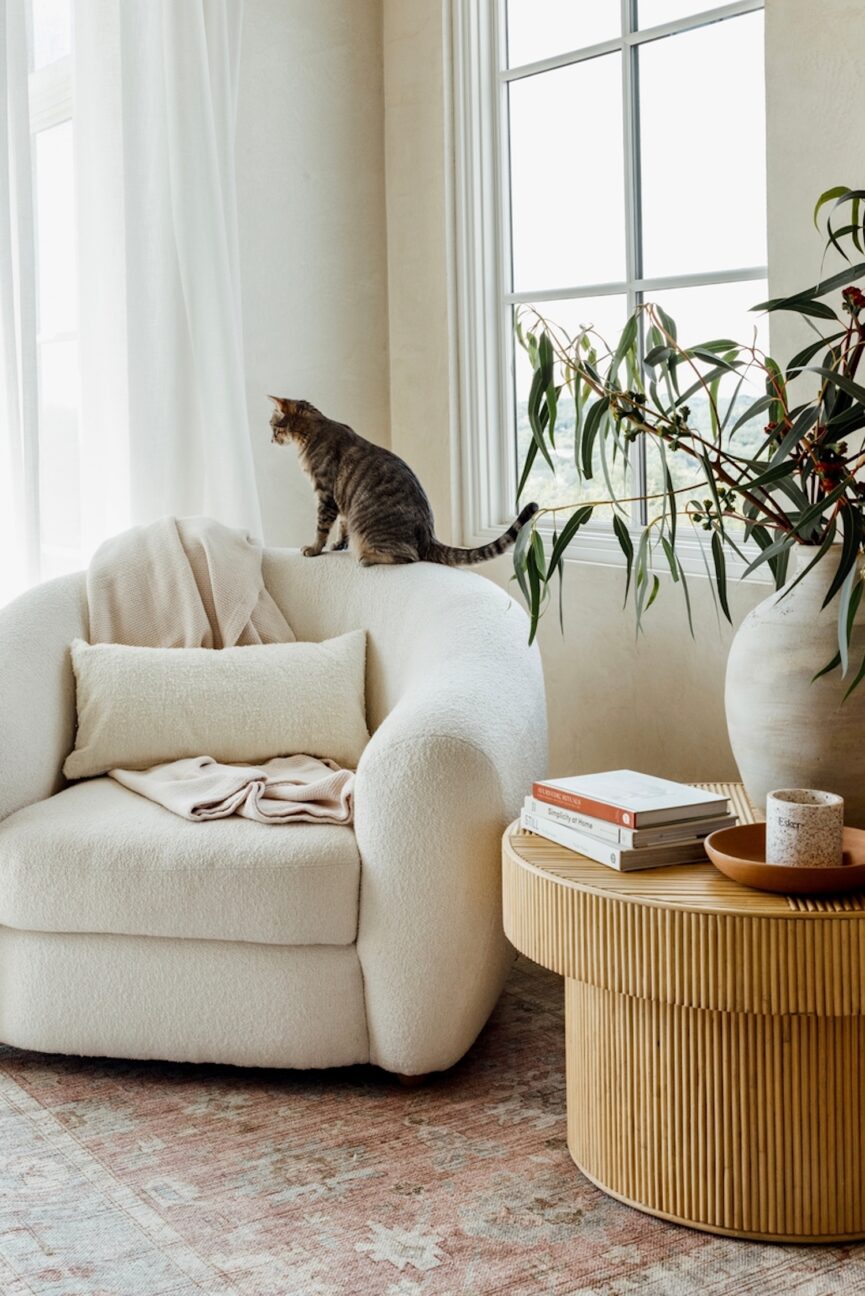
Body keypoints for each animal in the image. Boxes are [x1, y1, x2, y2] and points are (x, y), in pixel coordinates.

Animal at [271, 393, 536, 567]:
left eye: (273, 426)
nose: (270, 439)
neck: (313, 431)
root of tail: (429, 536)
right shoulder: (340, 501)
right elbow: (341, 527)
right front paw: (338, 545)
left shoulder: (325, 493)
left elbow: (321, 528)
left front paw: (314, 549)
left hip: (369, 529)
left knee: (410, 557)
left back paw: (366, 557)